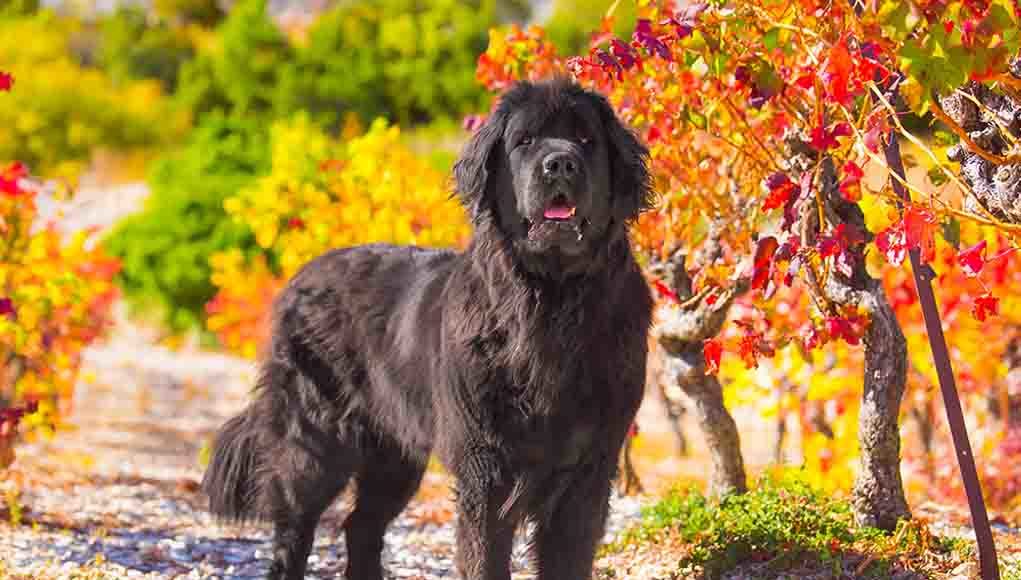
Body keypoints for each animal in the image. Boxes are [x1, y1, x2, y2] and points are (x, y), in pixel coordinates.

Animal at [201, 78, 653, 580]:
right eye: (525, 141)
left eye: (587, 140)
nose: (561, 162)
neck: (549, 303)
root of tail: (300, 276)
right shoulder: (486, 467)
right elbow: (484, 558)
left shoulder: (586, 470)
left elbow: (569, 556)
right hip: (313, 435)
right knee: (294, 526)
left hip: (395, 451)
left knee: (361, 525)